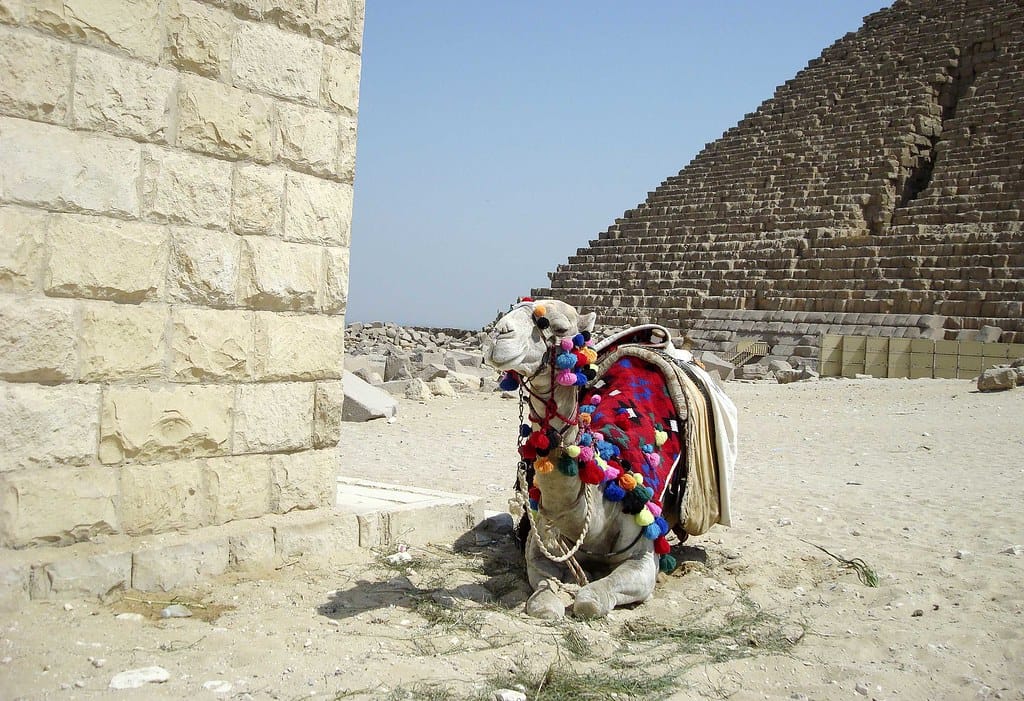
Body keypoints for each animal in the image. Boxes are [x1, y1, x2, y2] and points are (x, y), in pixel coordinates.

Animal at [482, 298, 737, 619]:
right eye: (509, 312)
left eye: (559, 327)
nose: (498, 334)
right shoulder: (541, 543)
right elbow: (544, 599)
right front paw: (551, 599)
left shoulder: (643, 557)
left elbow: (589, 600)